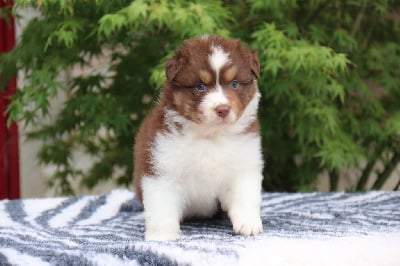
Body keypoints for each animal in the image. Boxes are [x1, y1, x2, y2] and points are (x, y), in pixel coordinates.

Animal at [134, 35, 264, 241]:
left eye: (234, 84)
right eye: (200, 87)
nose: (222, 109)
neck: (210, 135)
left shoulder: (243, 165)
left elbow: (245, 197)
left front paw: (248, 224)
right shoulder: (162, 167)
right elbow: (161, 205)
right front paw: (162, 235)